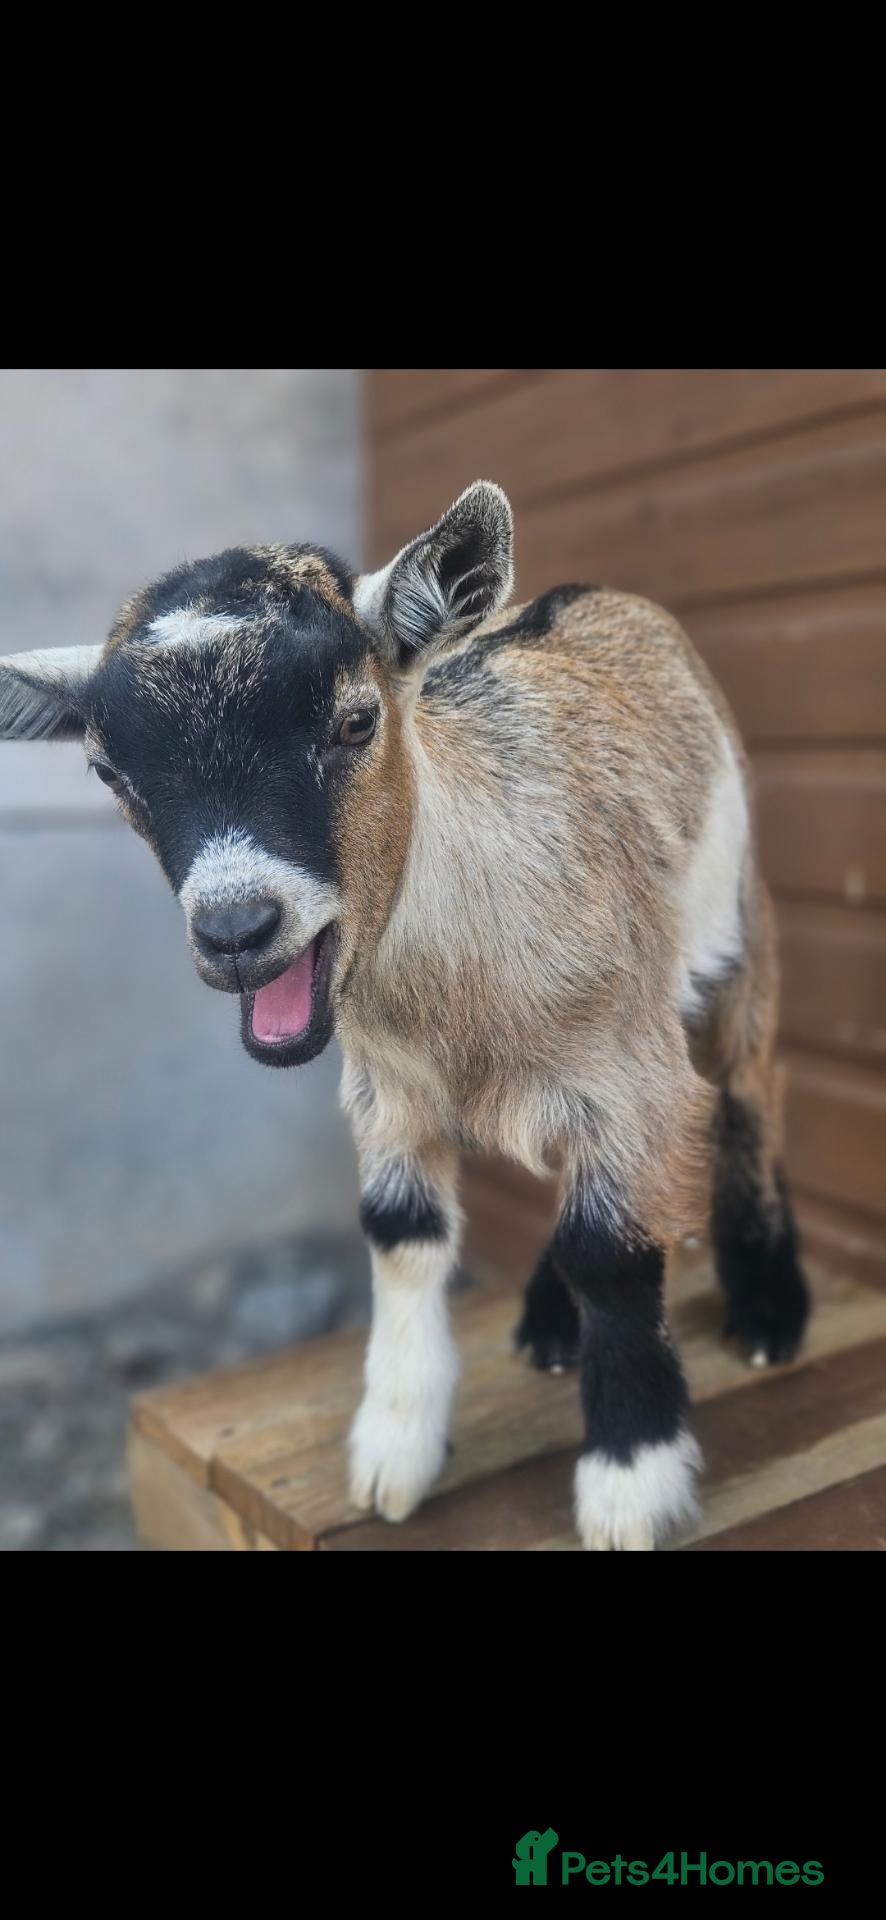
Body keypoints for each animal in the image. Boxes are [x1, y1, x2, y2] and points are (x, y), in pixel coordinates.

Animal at [0, 481, 809, 1548]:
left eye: (353, 723)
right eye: (108, 772)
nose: (236, 928)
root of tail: (596, 595)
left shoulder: (628, 1073)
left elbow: (611, 1251)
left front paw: (630, 1484)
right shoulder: (387, 1093)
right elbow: (400, 1227)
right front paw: (393, 1453)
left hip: (739, 925)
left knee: (753, 1082)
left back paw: (768, 1308)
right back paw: (550, 1323)